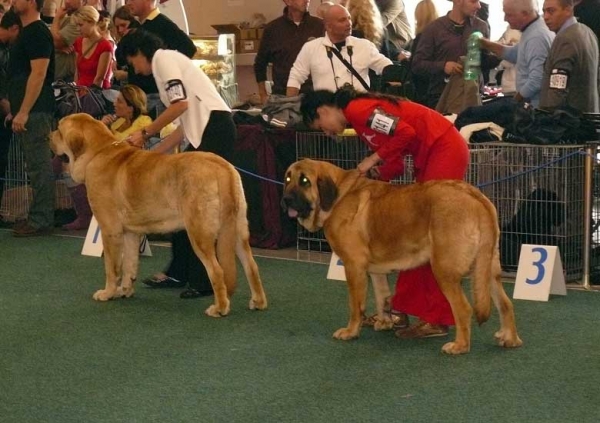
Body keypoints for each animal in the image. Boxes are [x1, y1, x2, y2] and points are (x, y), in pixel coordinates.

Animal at [50, 112, 266, 318]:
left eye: (59, 130)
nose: (48, 136)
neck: (98, 152)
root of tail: (222, 167)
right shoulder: (130, 233)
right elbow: (129, 264)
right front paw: (125, 290)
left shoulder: (110, 230)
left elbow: (112, 268)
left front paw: (107, 293)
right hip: (237, 230)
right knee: (251, 266)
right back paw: (258, 302)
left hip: (200, 233)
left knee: (217, 270)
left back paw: (219, 308)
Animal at [282, 159, 520, 354]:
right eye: (288, 178)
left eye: (305, 181)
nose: (285, 199)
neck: (339, 194)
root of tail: (477, 198)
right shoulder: (375, 270)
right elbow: (382, 296)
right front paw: (384, 322)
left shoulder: (353, 266)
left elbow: (355, 306)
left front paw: (351, 331)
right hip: (487, 269)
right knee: (506, 303)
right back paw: (510, 338)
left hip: (444, 270)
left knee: (463, 308)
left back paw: (459, 346)